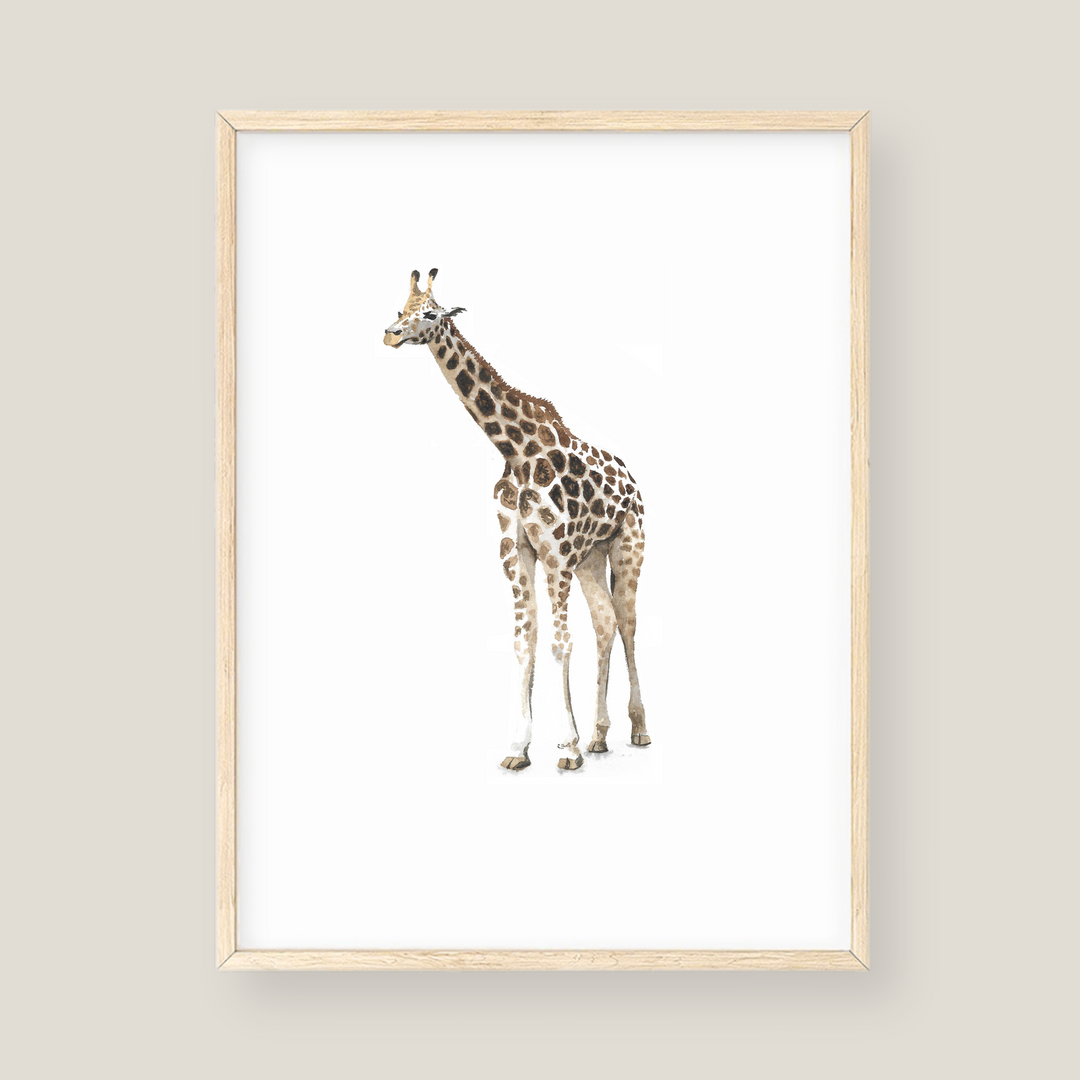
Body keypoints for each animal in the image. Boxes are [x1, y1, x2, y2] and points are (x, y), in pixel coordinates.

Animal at [383, 269, 649, 771]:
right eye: (400, 309)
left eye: (431, 314)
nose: (390, 333)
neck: (517, 450)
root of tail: (633, 481)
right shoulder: (516, 553)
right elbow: (525, 642)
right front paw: (518, 748)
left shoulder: (556, 555)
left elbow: (560, 643)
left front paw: (567, 748)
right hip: (591, 558)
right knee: (604, 622)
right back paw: (600, 736)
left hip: (629, 546)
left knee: (626, 622)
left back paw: (638, 730)